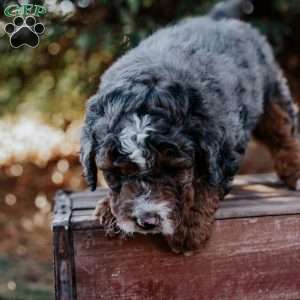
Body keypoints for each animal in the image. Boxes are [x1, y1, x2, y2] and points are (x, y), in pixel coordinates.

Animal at [79, 0, 300, 253]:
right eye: (117, 173)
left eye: (174, 169)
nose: (147, 221)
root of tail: (217, 18)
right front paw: (109, 208)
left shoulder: (223, 145)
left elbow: (207, 180)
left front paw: (188, 227)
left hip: (270, 88)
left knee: (283, 130)